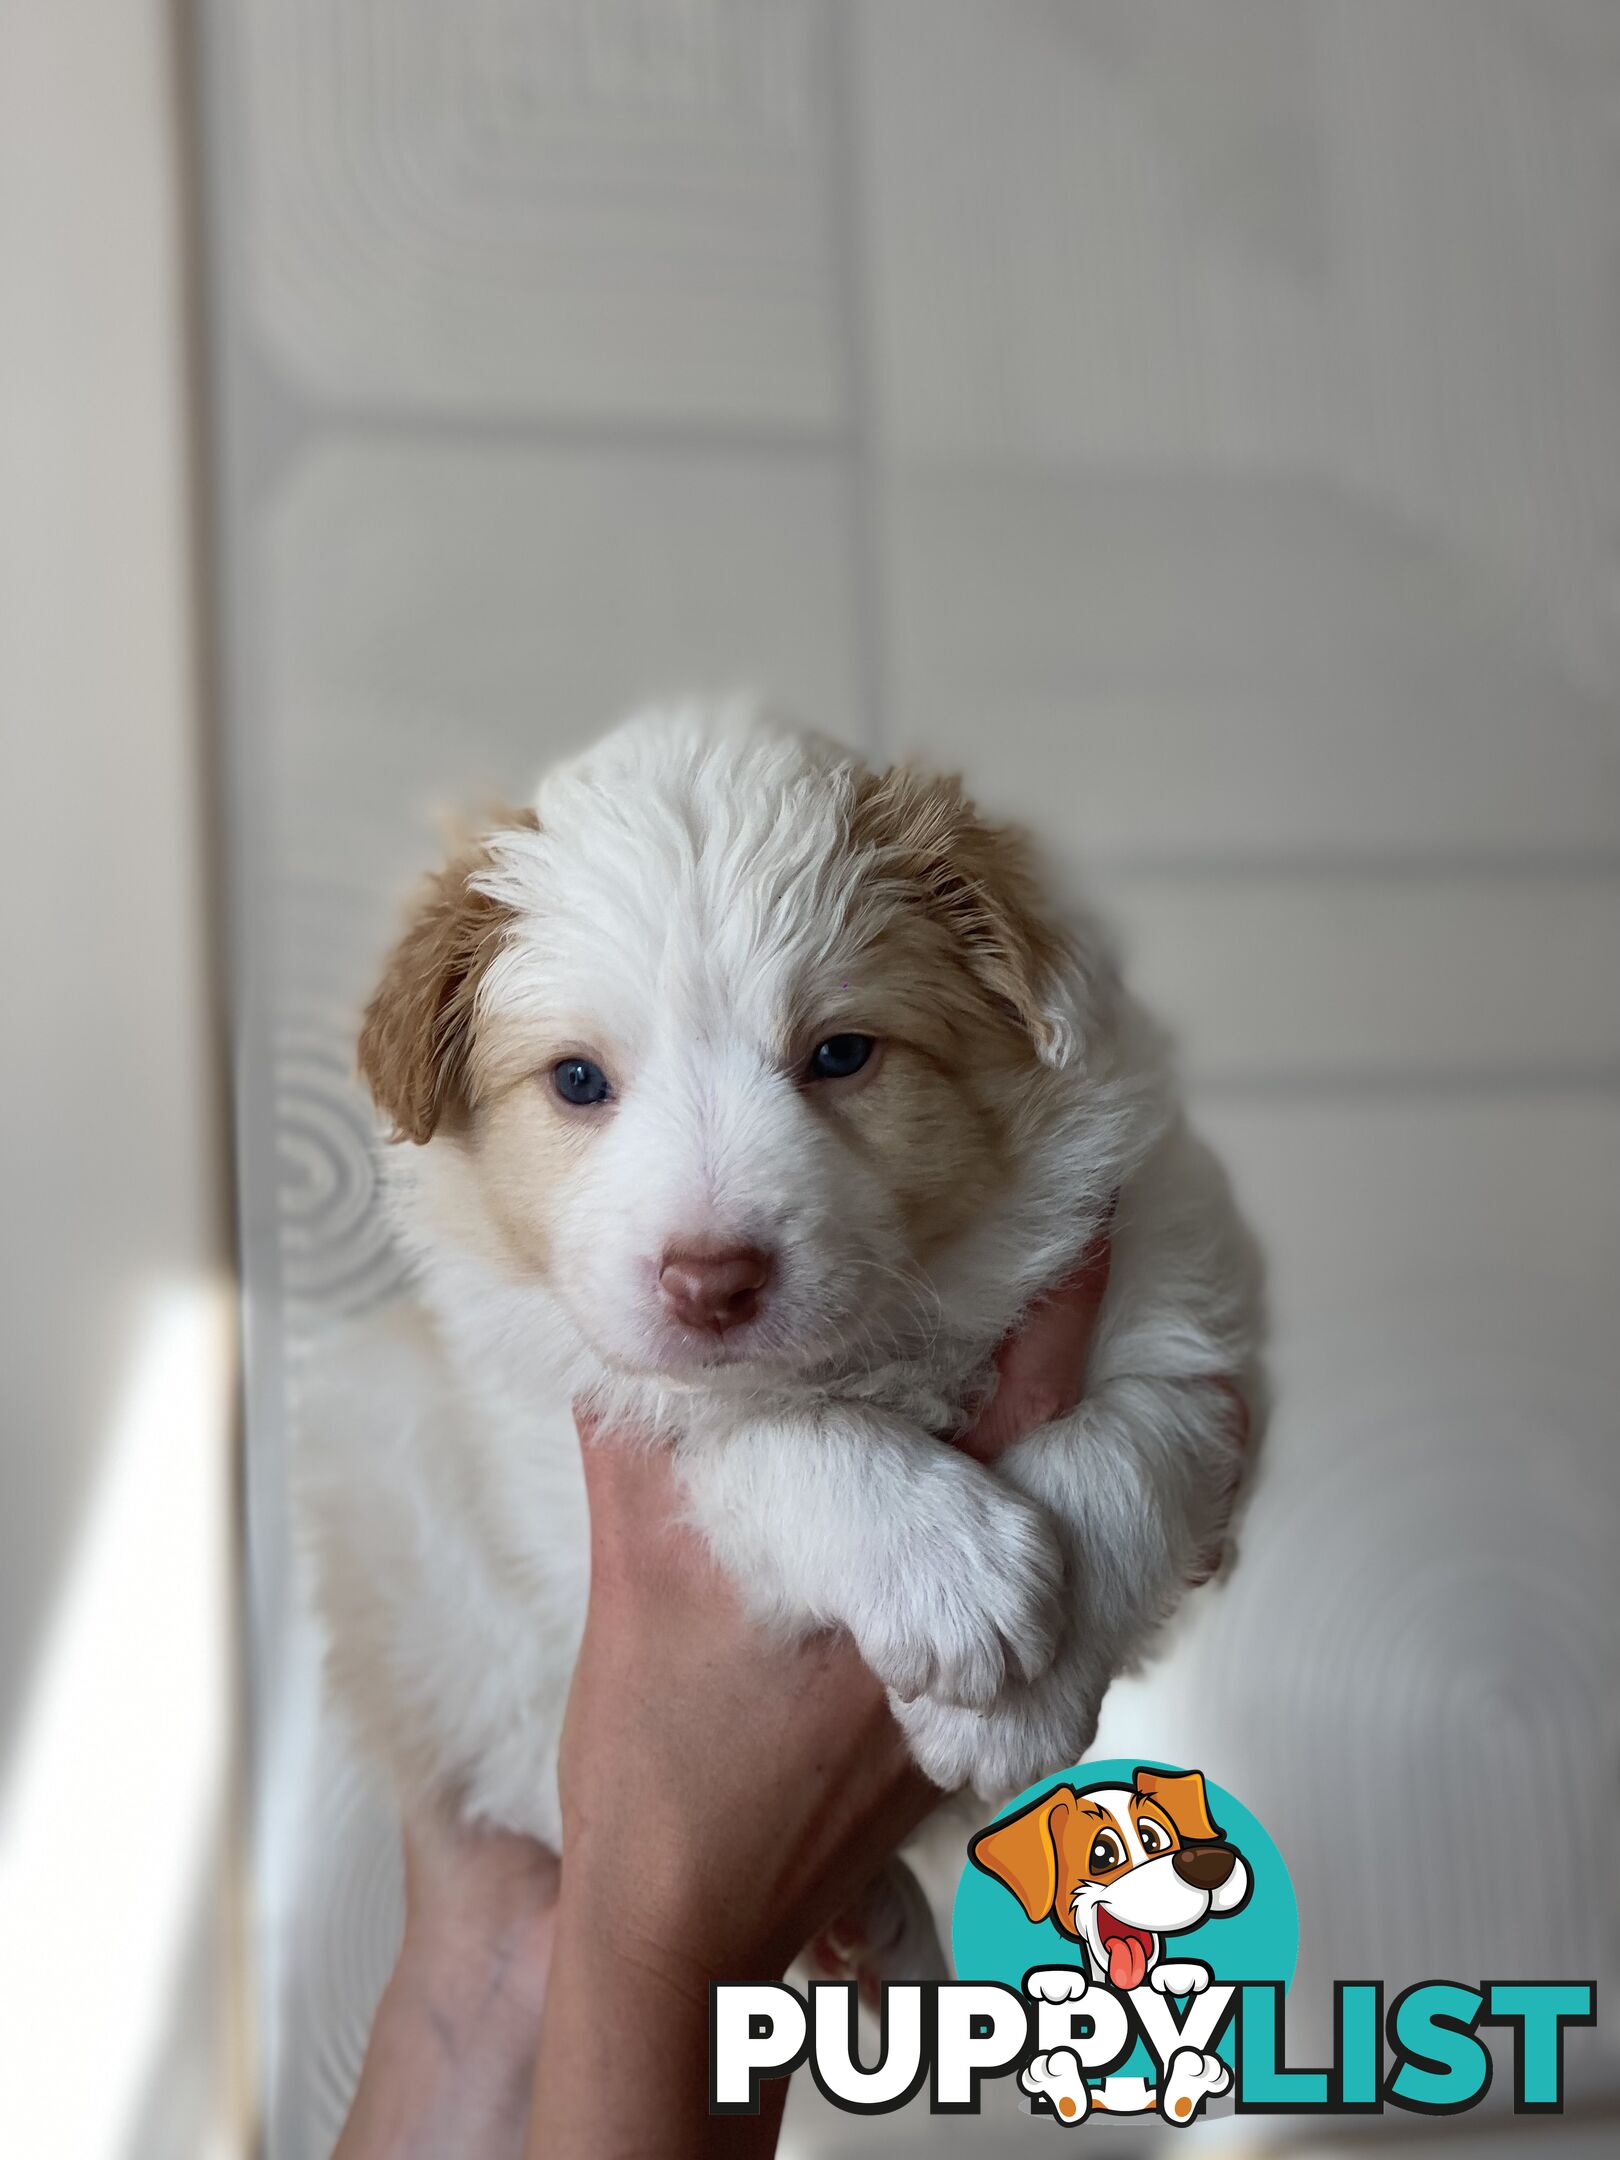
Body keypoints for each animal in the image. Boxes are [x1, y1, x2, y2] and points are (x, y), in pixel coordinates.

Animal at [304, 695, 1270, 1874]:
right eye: (578, 1080)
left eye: (843, 1053)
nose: (710, 1282)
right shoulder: (581, 1434)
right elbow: (756, 1434)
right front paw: (950, 1572)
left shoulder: (1188, 1313)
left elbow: (1127, 1444)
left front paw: (1022, 1704)